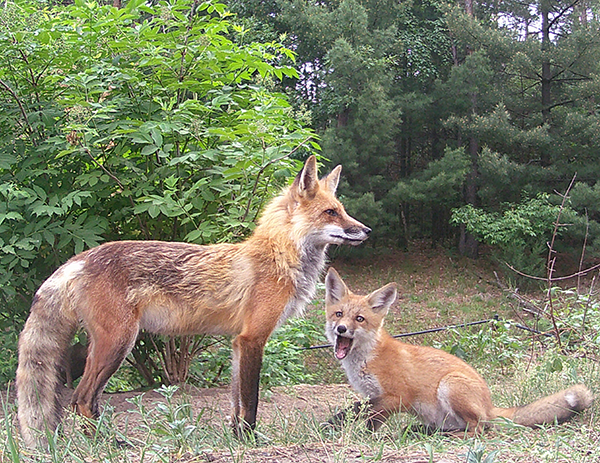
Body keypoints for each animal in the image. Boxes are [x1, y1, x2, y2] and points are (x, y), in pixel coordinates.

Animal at [15, 158, 370, 448]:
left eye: (342, 209)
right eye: (331, 212)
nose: (366, 230)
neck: (278, 257)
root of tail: (80, 258)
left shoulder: (237, 342)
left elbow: (236, 403)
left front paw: (237, 440)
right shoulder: (253, 338)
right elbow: (251, 401)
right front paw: (251, 443)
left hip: (105, 345)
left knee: (77, 396)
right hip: (118, 343)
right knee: (81, 399)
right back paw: (108, 445)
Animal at [322, 268, 592, 436]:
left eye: (359, 319)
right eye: (339, 314)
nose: (342, 328)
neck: (367, 358)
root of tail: (490, 405)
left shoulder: (396, 397)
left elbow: (368, 418)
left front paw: (362, 437)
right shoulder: (374, 396)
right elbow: (355, 409)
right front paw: (335, 424)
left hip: (450, 386)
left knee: (478, 430)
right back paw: (423, 432)